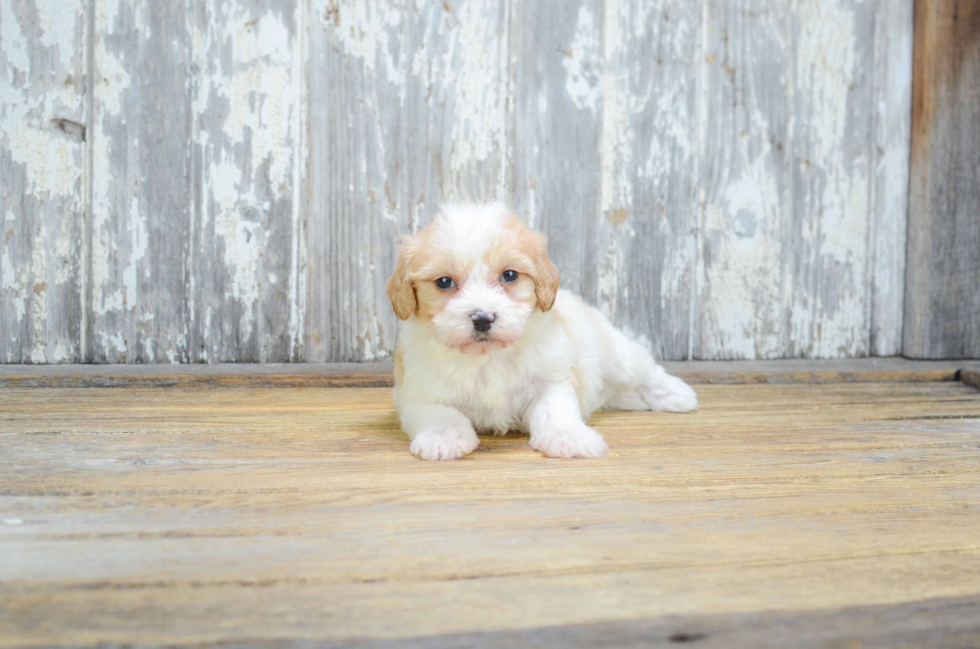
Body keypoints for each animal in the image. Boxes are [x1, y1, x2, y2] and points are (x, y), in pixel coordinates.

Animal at [382, 200, 696, 458]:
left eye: (509, 275)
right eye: (444, 282)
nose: (483, 318)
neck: (487, 358)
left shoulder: (552, 379)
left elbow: (554, 410)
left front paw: (569, 437)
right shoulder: (419, 393)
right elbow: (440, 414)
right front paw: (443, 437)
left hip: (614, 351)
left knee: (644, 371)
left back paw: (678, 395)